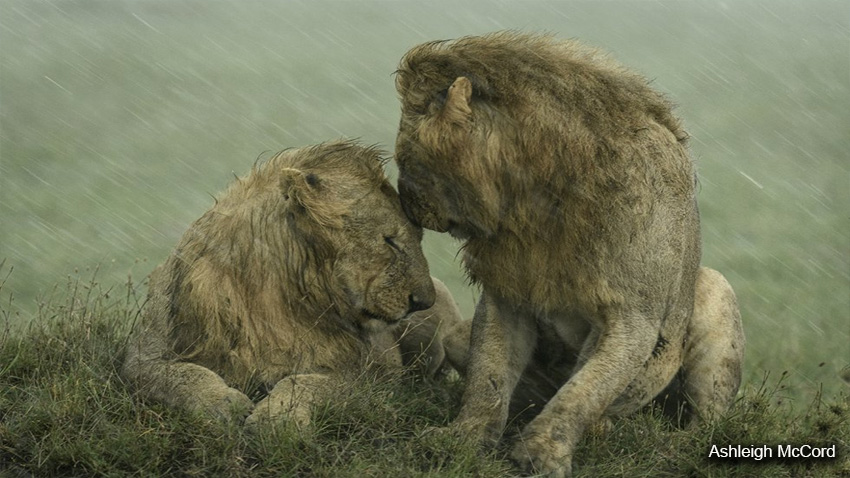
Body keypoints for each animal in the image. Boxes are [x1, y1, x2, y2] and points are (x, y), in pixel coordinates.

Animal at [122, 140, 468, 428]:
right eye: (390, 241)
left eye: (419, 237)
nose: (423, 301)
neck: (271, 295)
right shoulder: (144, 355)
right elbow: (180, 376)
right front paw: (223, 403)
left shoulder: (371, 374)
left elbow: (303, 382)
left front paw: (278, 419)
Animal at [390, 31, 744, 476]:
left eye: (406, 160)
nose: (406, 205)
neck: (537, 202)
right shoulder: (507, 296)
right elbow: (488, 379)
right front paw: (462, 439)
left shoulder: (634, 317)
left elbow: (584, 390)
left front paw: (542, 453)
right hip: (457, 337)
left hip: (714, 291)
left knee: (705, 419)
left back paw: (666, 442)